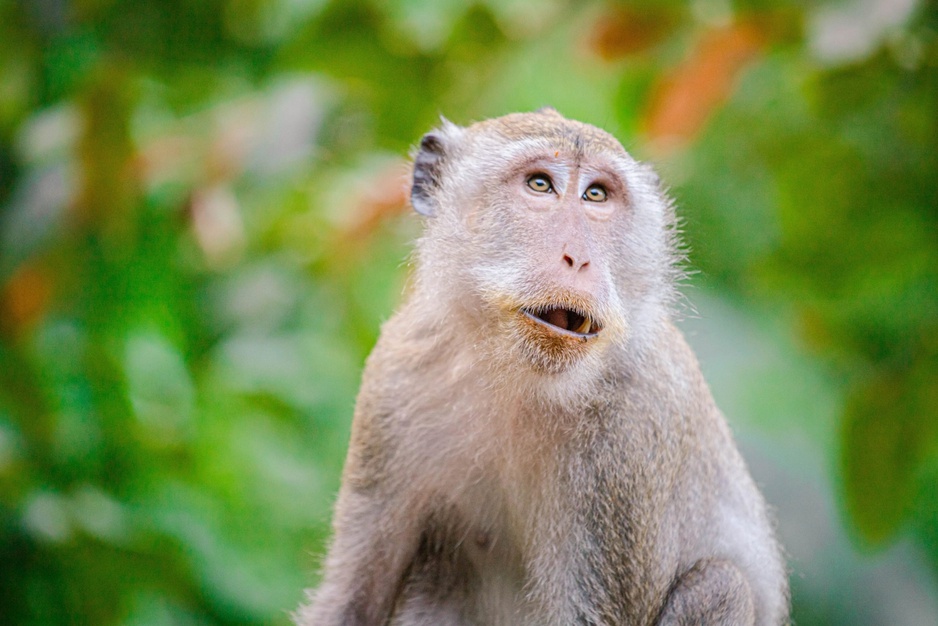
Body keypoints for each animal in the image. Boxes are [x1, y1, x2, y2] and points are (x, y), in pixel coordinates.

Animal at [296, 109, 788, 620]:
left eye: (596, 195)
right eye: (539, 184)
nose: (579, 259)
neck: (515, 373)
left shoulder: (628, 433)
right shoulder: (395, 378)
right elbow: (352, 599)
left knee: (720, 586)